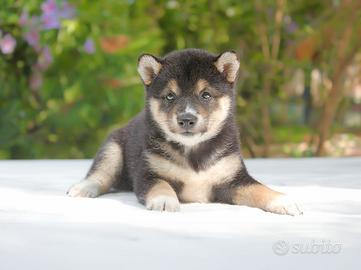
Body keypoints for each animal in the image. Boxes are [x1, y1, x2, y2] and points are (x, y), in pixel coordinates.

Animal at [67, 49, 300, 215]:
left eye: (206, 95)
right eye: (170, 96)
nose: (187, 119)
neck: (192, 151)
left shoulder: (233, 179)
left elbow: (259, 188)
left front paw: (284, 200)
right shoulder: (148, 173)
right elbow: (161, 185)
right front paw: (164, 200)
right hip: (113, 148)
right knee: (101, 174)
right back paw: (82, 188)